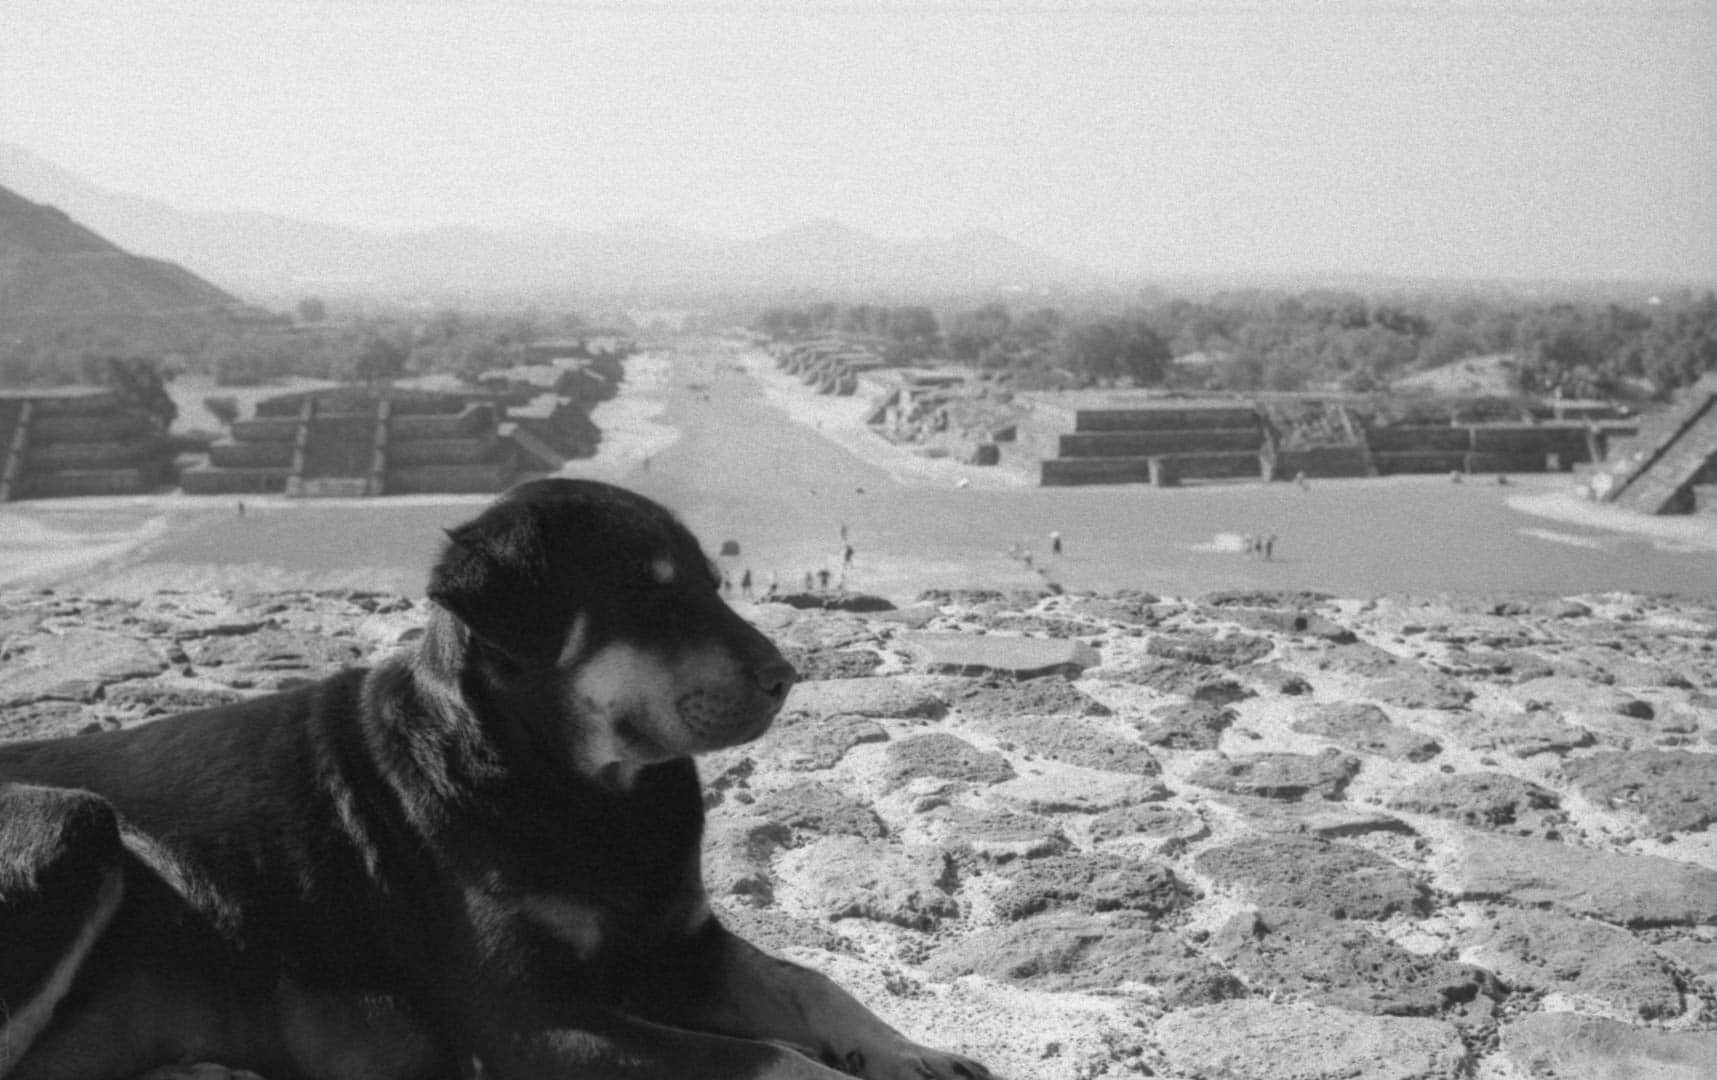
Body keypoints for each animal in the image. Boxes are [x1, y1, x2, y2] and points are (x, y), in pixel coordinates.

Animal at [0, 480, 995, 1078]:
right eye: (648, 594)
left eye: (715, 584)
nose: (786, 675)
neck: (579, 790)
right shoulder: (530, 1018)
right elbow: (776, 1059)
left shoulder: (681, 944)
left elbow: (809, 982)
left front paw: (912, 1053)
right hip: (71, 823)